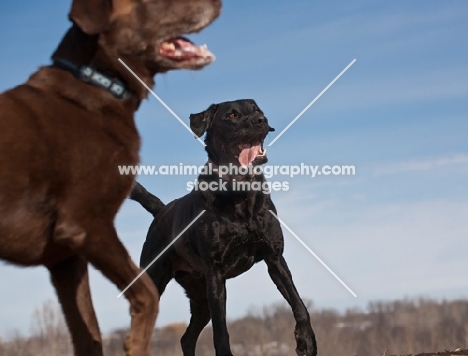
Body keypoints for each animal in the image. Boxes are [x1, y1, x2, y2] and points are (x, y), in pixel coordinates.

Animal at [0, 0, 221, 356]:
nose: (219, 3)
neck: (97, 85)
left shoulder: (66, 259)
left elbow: (89, 333)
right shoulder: (87, 225)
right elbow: (146, 295)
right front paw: (134, 344)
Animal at [130, 98, 316, 354]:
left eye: (257, 110)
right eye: (231, 115)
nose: (261, 120)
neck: (240, 193)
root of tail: (161, 210)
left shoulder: (275, 257)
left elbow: (298, 304)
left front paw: (306, 341)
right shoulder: (216, 274)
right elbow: (221, 332)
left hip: (199, 295)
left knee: (187, 337)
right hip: (158, 280)